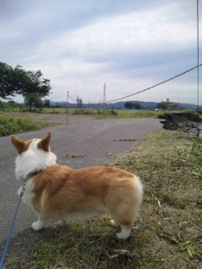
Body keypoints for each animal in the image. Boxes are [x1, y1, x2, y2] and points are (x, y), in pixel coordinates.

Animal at [11, 131, 143, 238]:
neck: (37, 170)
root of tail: (134, 178)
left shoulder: (40, 211)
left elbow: (41, 220)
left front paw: (36, 227)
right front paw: (62, 223)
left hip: (119, 208)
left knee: (127, 225)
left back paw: (121, 236)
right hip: (114, 208)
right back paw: (114, 223)